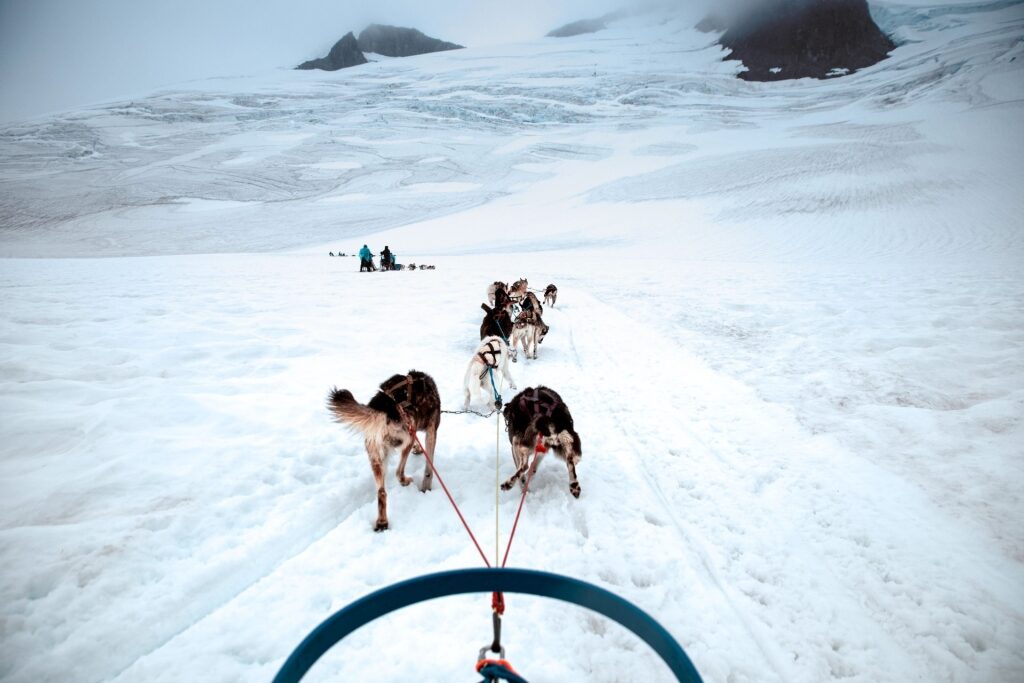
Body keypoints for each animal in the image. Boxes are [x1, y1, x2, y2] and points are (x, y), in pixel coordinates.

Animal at [327, 370, 440, 532]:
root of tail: (384, 408)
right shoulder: (431, 431)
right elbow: (428, 470)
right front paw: (426, 487)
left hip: (376, 456)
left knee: (381, 492)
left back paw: (382, 522)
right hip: (407, 438)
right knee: (398, 472)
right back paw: (404, 481)